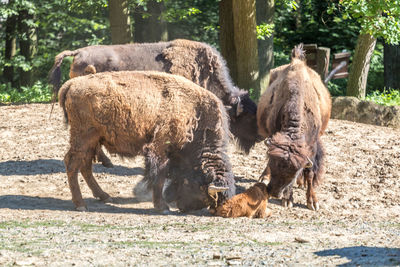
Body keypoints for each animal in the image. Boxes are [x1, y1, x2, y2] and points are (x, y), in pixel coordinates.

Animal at [57, 71, 236, 214]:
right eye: (202, 193)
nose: (183, 207)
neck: (195, 112)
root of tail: (72, 83)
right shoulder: (159, 148)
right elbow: (159, 176)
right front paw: (162, 207)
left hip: (92, 141)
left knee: (85, 165)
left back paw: (104, 196)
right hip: (83, 137)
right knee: (72, 163)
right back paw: (81, 204)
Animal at [256, 44, 332, 211]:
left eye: (293, 173)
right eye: (274, 165)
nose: (274, 192)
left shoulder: (311, 147)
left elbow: (309, 173)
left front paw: (312, 202)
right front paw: (288, 199)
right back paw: (264, 177)